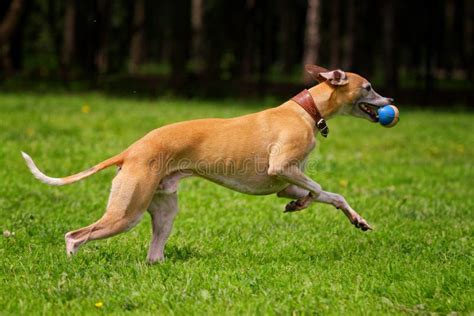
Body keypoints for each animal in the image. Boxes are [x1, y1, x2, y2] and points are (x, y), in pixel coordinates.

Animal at [21, 64, 392, 262]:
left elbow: (333, 195)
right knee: (75, 236)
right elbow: (315, 189)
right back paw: (72, 263)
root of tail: (130, 150)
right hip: (126, 213)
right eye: (369, 87)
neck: (305, 109)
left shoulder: (286, 183)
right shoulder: (281, 168)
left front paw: (357, 220)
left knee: (153, 253)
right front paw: (301, 204)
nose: (390, 100)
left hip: (163, 208)